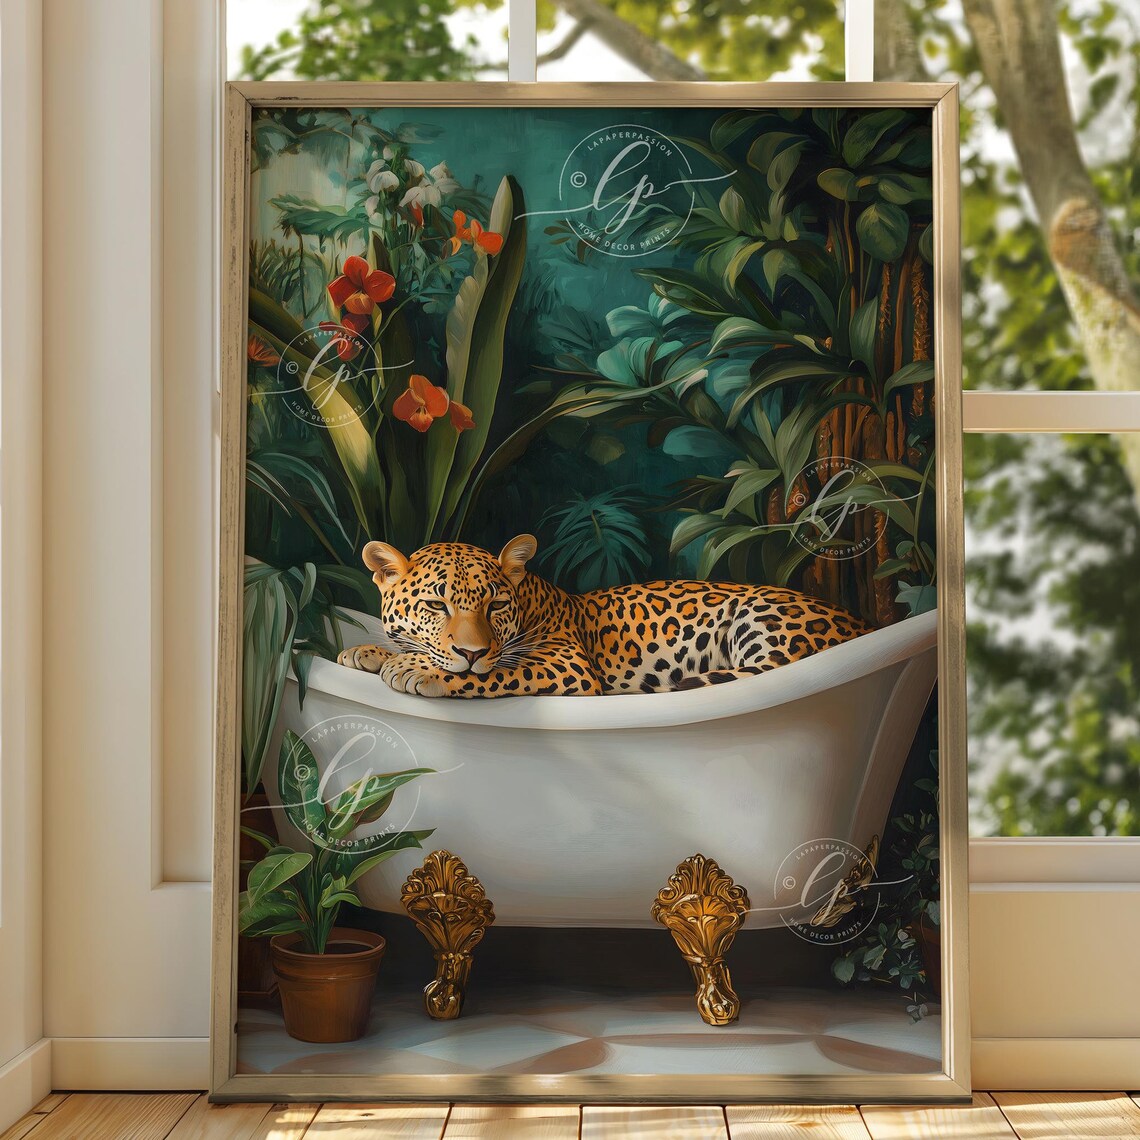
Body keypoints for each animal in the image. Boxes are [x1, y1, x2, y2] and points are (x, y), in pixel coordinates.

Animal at [336, 534, 869, 699]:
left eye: (496, 606)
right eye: (436, 606)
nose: (471, 650)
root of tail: (864, 625)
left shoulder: (567, 664)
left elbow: (493, 672)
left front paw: (414, 669)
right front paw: (364, 651)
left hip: (758, 617)